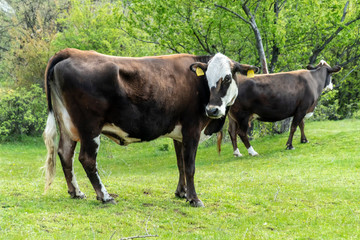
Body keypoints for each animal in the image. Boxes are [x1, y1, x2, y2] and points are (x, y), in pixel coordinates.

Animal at [43, 48, 258, 206]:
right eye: (207, 78)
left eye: (228, 78)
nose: (212, 109)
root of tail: (72, 52)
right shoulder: (192, 129)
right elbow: (190, 166)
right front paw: (194, 199)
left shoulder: (179, 134)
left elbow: (180, 164)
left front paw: (182, 193)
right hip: (89, 127)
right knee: (86, 159)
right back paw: (105, 196)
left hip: (68, 124)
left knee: (65, 153)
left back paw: (76, 192)